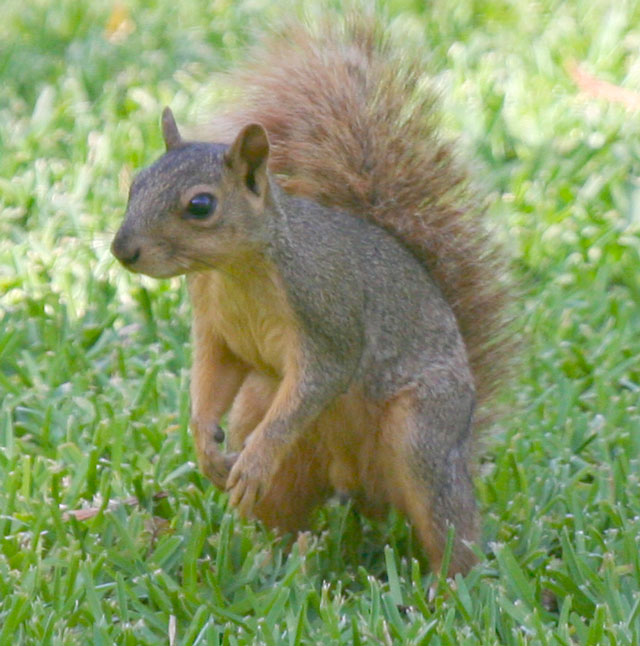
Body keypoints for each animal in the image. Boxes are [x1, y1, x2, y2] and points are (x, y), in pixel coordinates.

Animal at [111, 13, 512, 576]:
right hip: (265, 418)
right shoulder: (216, 331)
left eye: (201, 205)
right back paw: (267, 564)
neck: (236, 270)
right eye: (135, 184)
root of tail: (360, 486)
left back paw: (447, 585)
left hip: (421, 436)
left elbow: (321, 377)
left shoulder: (327, 313)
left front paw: (254, 457)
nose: (122, 250)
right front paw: (204, 444)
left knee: (451, 528)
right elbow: (212, 378)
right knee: (283, 515)